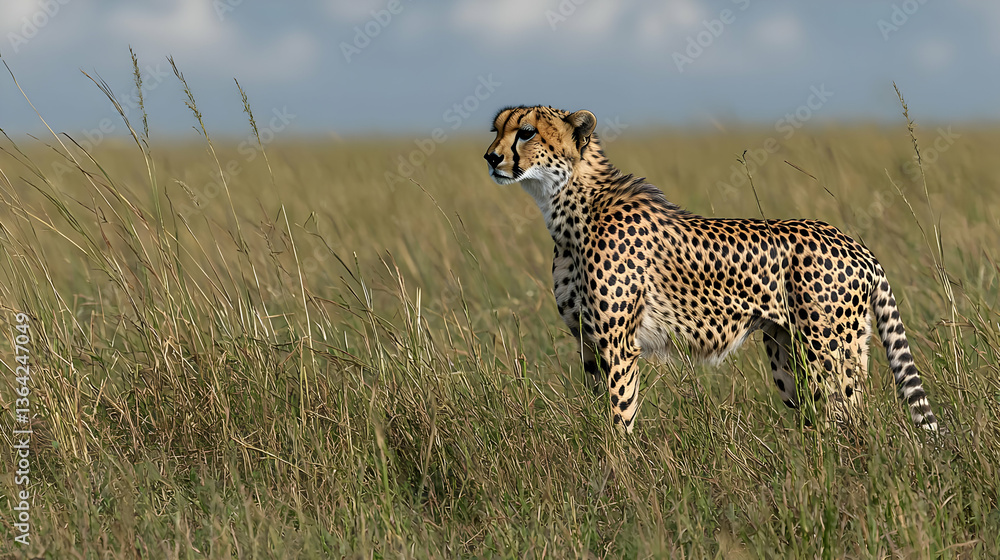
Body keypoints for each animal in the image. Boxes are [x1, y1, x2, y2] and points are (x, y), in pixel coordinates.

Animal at [484, 105, 938, 434]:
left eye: (527, 132)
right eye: (496, 129)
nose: (490, 157)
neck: (570, 207)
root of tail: (854, 243)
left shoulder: (618, 345)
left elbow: (619, 416)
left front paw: (619, 476)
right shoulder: (589, 343)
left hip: (827, 350)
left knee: (850, 417)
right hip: (794, 352)